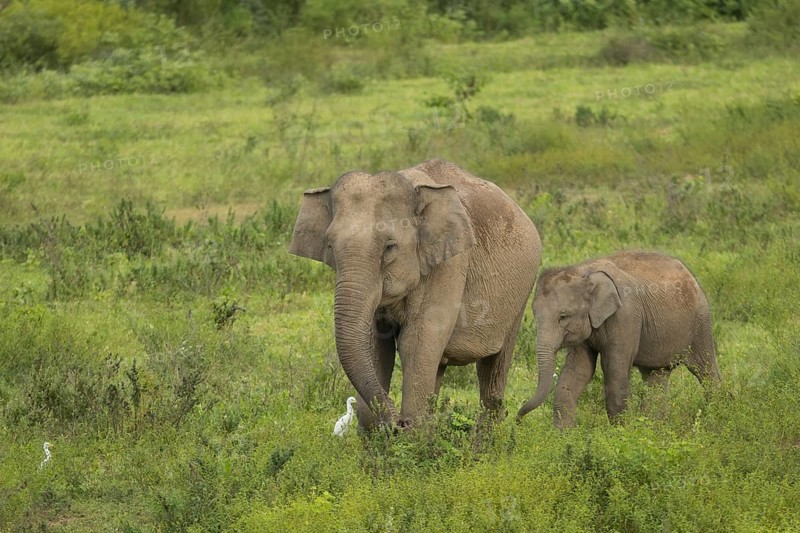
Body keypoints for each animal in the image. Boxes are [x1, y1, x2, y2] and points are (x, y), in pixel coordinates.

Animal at [289, 159, 541, 430]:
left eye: (390, 247)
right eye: (330, 246)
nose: (396, 423)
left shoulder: (450, 262)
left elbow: (416, 342)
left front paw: (408, 433)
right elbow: (376, 344)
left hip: (521, 294)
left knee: (493, 368)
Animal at [517, 250, 721, 428]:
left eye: (563, 316)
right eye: (535, 314)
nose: (517, 420)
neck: (585, 273)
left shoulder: (626, 316)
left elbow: (615, 372)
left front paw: (621, 435)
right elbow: (579, 371)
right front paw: (565, 437)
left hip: (701, 323)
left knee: (706, 371)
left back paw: (718, 417)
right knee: (656, 377)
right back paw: (652, 430)